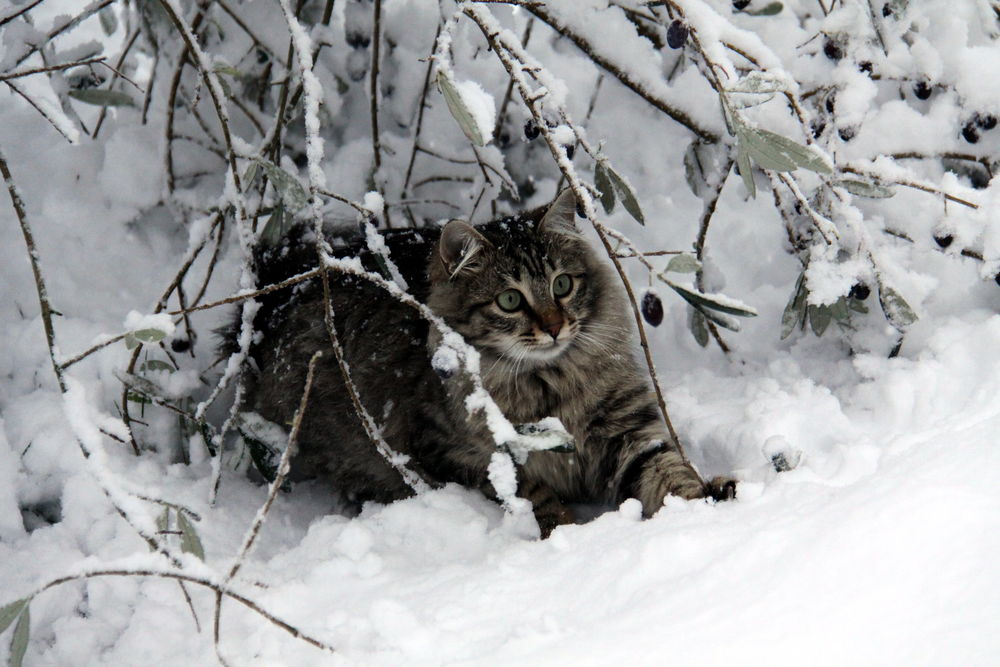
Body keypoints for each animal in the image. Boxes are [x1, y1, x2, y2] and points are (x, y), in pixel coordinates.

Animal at [234, 188, 736, 536]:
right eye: (510, 300)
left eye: (562, 285)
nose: (555, 327)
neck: (550, 382)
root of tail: (280, 276)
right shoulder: (465, 455)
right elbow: (534, 498)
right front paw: (568, 533)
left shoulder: (628, 434)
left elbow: (670, 475)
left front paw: (708, 501)